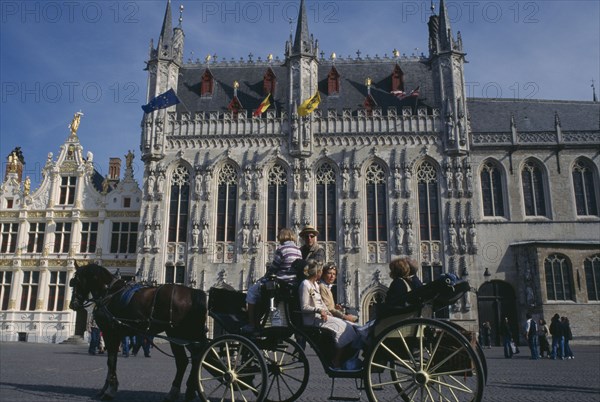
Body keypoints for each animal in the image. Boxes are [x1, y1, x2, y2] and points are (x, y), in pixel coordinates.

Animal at [69, 262, 206, 400]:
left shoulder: (110, 332)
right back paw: (189, 390)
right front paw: (104, 389)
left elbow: (111, 360)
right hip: (187, 335)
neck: (109, 292)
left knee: (184, 360)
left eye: (76, 281)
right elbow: (111, 360)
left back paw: (176, 392)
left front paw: (109, 390)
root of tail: (194, 293)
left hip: (177, 333)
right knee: (195, 358)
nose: (72, 305)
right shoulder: (115, 333)